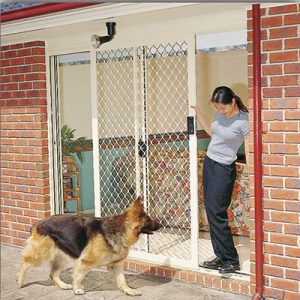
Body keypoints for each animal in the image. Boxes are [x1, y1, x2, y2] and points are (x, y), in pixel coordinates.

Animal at [17, 198, 159, 296]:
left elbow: (122, 280)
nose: (161, 224)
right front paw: (77, 289)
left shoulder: (117, 265)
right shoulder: (85, 262)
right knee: (24, 262)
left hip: (61, 257)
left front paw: (129, 291)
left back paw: (63, 285)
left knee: (52, 274)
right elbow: (79, 276)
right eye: (149, 220)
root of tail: (38, 223)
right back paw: (19, 280)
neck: (119, 230)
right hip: (41, 255)